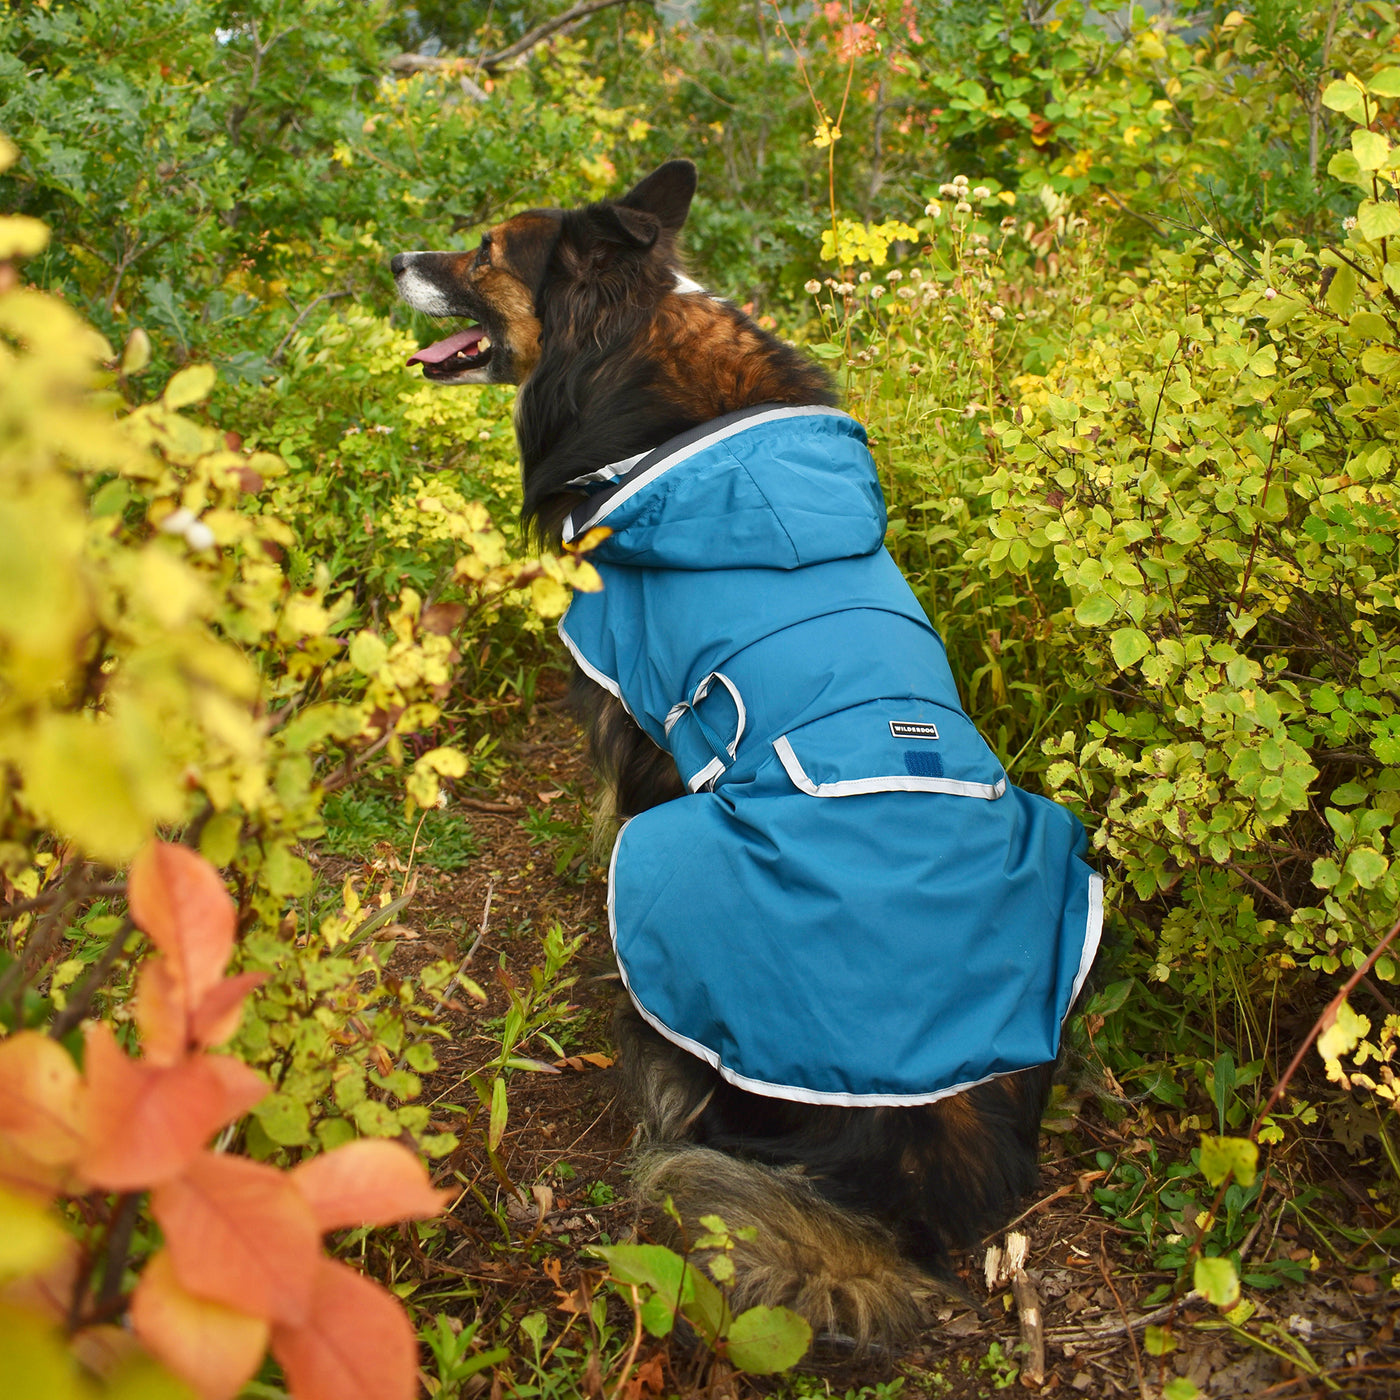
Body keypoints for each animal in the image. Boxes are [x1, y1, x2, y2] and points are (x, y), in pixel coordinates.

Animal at [389, 161, 1097, 1344]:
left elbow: (610, 808)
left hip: (679, 869)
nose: (393, 259)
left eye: (485, 249)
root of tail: (928, 1138)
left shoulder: (632, 703)